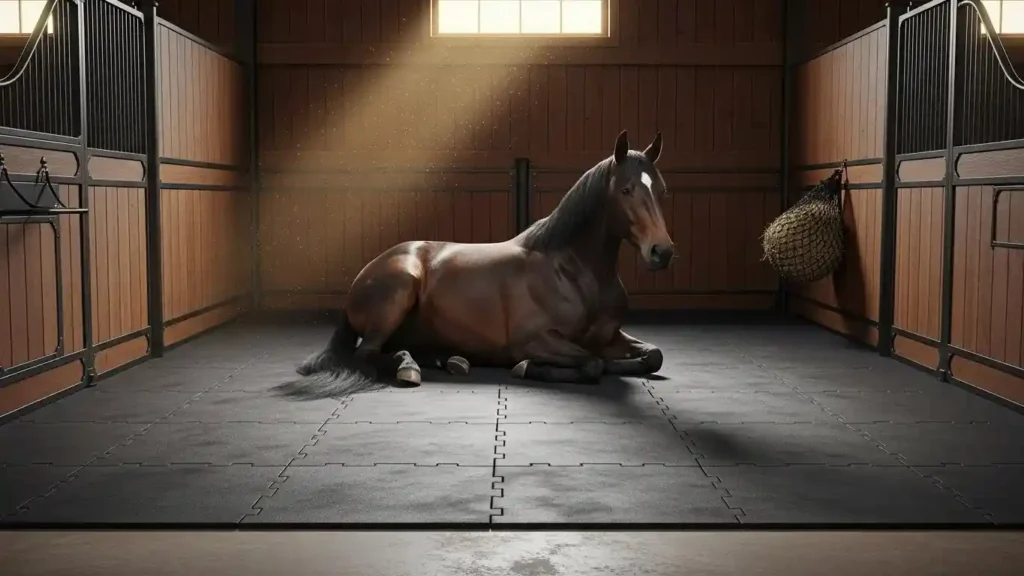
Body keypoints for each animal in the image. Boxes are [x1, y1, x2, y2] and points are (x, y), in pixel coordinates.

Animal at [275, 130, 675, 400]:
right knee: (367, 355)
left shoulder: (611, 336)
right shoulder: (535, 338)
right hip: (400, 288)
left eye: (661, 189)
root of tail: (365, 274)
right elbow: (591, 363)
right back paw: (410, 369)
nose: (662, 252)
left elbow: (653, 356)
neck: (571, 272)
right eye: (625, 190)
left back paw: (452, 360)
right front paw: (525, 367)